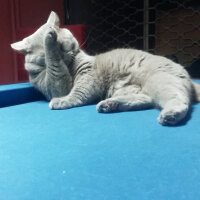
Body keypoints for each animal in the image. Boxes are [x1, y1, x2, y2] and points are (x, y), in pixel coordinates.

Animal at [10, 10, 200, 126]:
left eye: (63, 45)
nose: (68, 53)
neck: (70, 65)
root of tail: (190, 78)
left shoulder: (83, 77)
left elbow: (76, 92)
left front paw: (61, 101)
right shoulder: (54, 86)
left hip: (160, 81)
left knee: (179, 100)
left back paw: (170, 115)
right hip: (132, 89)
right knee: (146, 99)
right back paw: (109, 105)